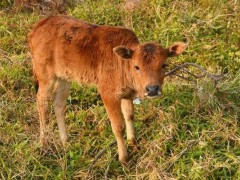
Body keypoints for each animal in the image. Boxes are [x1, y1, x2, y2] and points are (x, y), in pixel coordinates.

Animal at [27, 16, 186, 164]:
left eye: (164, 65)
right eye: (137, 66)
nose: (152, 89)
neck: (123, 64)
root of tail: (38, 26)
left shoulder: (126, 94)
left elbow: (129, 115)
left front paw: (132, 142)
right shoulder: (108, 94)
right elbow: (118, 126)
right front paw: (123, 157)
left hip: (64, 78)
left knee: (59, 104)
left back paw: (65, 141)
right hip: (45, 76)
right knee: (42, 102)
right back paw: (44, 141)